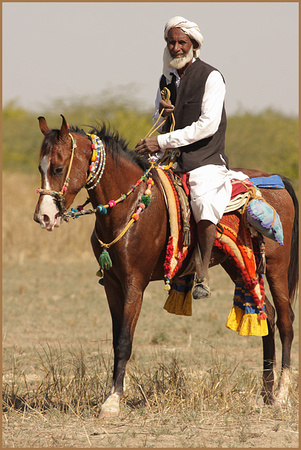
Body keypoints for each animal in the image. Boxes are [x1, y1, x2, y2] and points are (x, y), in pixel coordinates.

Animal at [34, 116, 296, 418]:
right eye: (40, 168)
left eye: (58, 168)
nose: (43, 217)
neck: (130, 205)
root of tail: (275, 180)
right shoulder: (112, 285)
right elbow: (115, 339)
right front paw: (112, 394)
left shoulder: (135, 284)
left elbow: (124, 341)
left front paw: (113, 401)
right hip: (239, 265)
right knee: (268, 315)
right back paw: (265, 393)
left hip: (276, 267)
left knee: (285, 320)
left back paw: (282, 393)